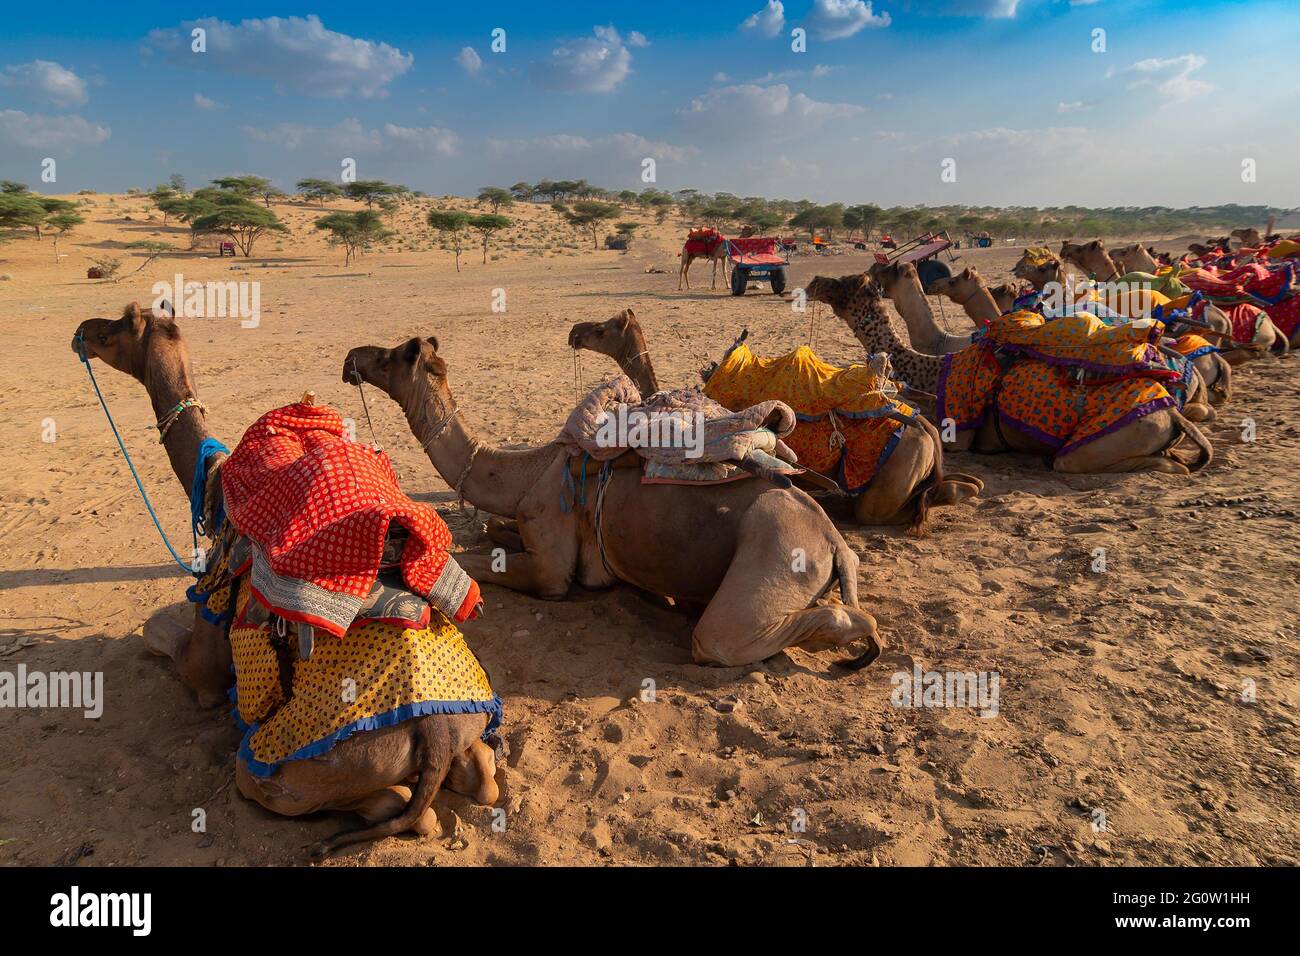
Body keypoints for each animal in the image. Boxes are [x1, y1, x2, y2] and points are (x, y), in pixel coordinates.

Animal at [72, 303, 501, 858]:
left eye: (118, 327)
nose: (84, 331)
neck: (213, 484)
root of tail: (435, 733)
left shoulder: (208, 634)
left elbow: (163, 638)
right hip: (468, 723)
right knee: (483, 780)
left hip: (291, 764)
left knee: (402, 808)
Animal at [345, 340, 889, 671]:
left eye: (393, 356)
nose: (353, 358)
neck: (526, 472)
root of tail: (835, 543)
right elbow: (489, 531)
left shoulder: (551, 566)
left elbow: (481, 562)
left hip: (775, 562)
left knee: (731, 636)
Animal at [564, 310, 977, 528]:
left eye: (601, 330)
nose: (574, 332)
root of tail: (925, 428)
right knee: (953, 488)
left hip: (888, 480)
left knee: (885, 509)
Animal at [806, 273, 1211, 476]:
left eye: (844, 283)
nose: (812, 282)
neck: (935, 367)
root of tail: (1172, 414)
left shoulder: (959, 434)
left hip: (1102, 443)